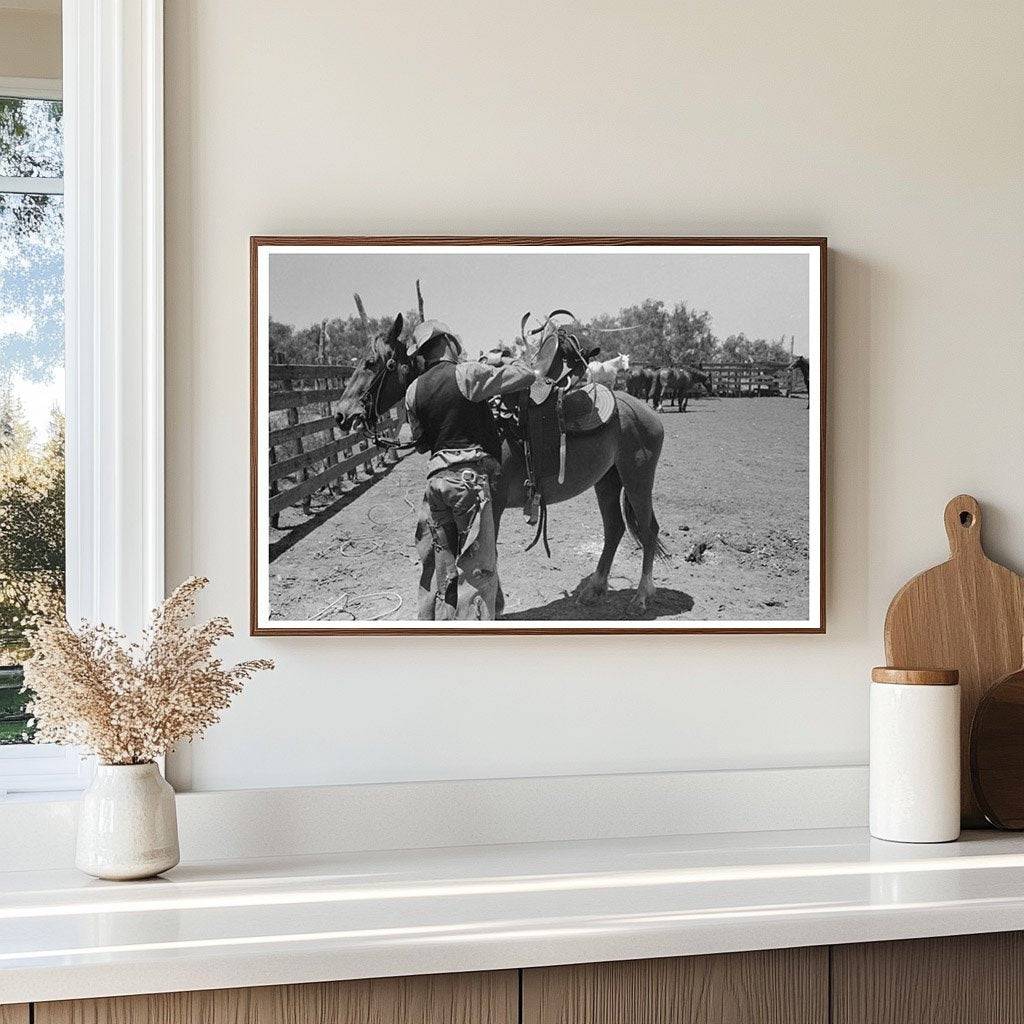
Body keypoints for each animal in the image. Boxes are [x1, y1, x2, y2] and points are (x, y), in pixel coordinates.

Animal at [333, 311, 671, 614]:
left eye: (371, 363)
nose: (341, 414)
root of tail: (646, 412)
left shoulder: (492, 502)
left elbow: (487, 552)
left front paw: (496, 604)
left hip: (638, 479)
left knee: (649, 530)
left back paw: (642, 596)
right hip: (607, 480)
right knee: (614, 528)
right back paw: (594, 589)